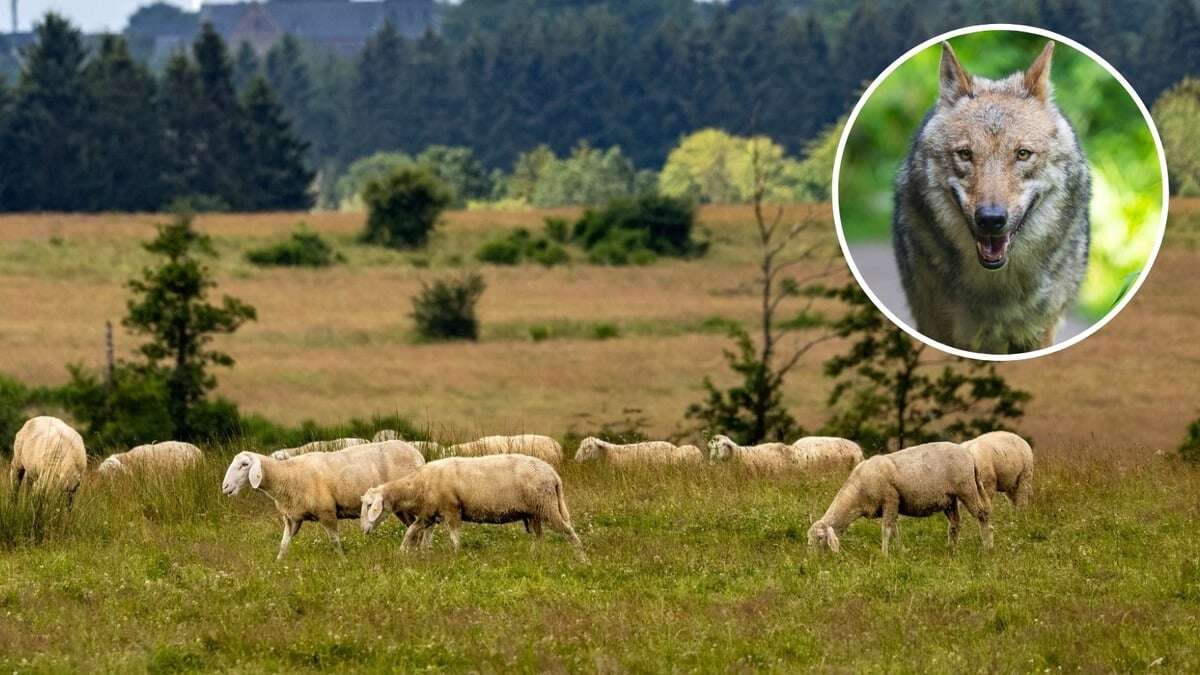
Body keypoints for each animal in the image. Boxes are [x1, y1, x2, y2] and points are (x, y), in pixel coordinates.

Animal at [222, 437, 427, 557]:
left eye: (244, 464)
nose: (225, 487)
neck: (287, 475)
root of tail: (418, 455)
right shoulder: (292, 519)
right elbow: (283, 545)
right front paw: (278, 565)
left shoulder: (326, 512)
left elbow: (335, 542)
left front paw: (343, 561)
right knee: (414, 528)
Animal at [357, 451, 583, 557]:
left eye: (369, 505)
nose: (363, 530)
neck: (417, 485)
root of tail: (553, 474)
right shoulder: (428, 514)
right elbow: (412, 532)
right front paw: (404, 553)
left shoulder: (451, 509)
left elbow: (455, 537)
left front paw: (457, 556)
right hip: (535, 512)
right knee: (539, 538)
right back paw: (535, 556)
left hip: (547, 506)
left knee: (569, 532)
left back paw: (582, 559)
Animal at [806, 439, 993, 554]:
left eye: (820, 538)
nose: (813, 561)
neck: (857, 494)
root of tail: (970, 456)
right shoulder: (891, 506)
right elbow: (895, 531)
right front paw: (901, 551)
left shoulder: (890, 499)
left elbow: (886, 530)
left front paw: (884, 555)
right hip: (949, 499)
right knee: (955, 524)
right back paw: (952, 549)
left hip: (966, 488)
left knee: (982, 515)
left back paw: (987, 546)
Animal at [892, 41, 1089, 353]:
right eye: (965, 154)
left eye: (1022, 154)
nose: (991, 219)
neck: (997, 290)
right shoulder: (941, 330)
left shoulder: (1039, 336)